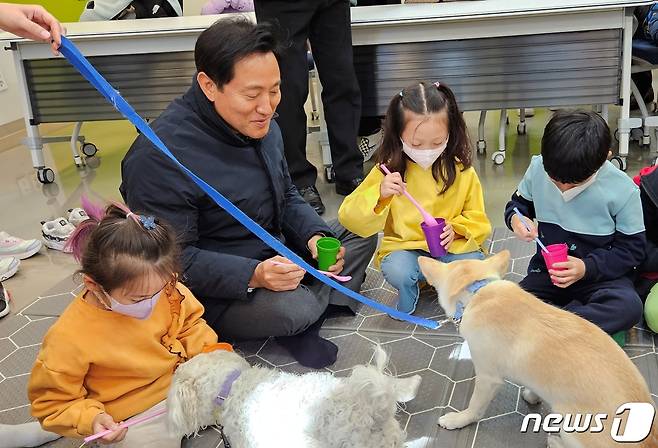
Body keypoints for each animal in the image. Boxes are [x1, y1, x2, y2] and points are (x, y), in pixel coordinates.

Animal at [418, 252, 652, 448]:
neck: (478, 292)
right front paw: (532, 394)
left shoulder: (487, 378)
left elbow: (474, 407)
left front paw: (458, 419)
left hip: (568, 422)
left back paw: (555, 442)